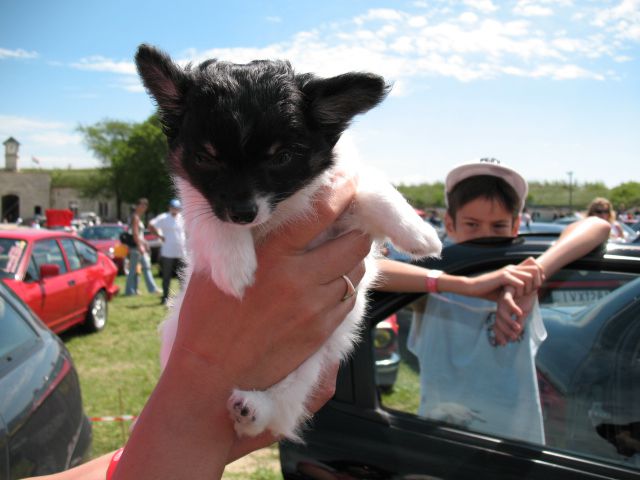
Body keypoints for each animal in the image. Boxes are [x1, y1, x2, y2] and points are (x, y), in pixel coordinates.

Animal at [136, 44, 440, 438]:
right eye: (205, 158)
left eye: (281, 158)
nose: (243, 212)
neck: (278, 213)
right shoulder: (200, 212)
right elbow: (212, 220)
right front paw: (235, 267)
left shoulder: (342, 208)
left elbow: (371, 188)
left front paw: (419, 233)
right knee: (279, 418)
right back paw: (249, 411)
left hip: (308, 367)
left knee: (283, 409)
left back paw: (252, 408)